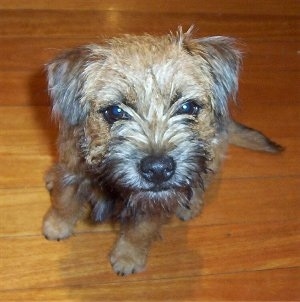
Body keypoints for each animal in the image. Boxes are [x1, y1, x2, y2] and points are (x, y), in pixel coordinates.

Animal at [42, 28, 284, 276]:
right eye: (115, 111)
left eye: (188, 107)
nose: (158, 169)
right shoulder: (72, 172)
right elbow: (64, 202)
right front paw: (56, 226)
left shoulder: (155, 201)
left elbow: (140, 231)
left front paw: (128, 257)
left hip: (212, 155)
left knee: (202, 182)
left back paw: (190, 206)